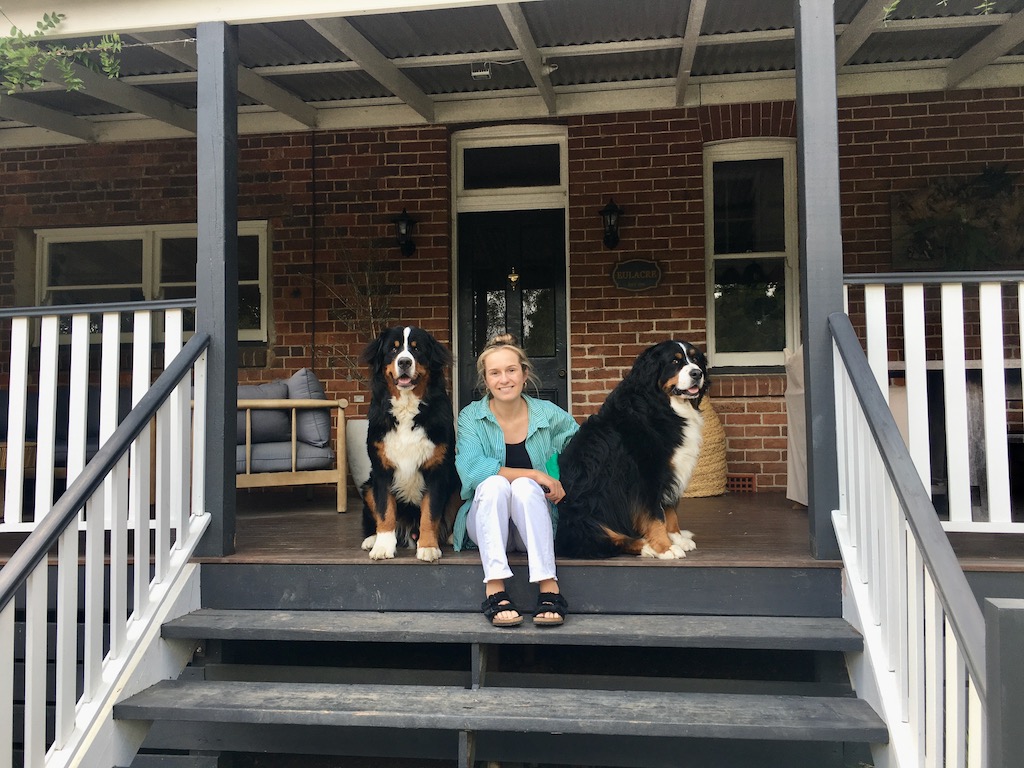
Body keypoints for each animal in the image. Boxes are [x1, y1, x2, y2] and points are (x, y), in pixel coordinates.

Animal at [358, 327, 458, 561]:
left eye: (416, 349)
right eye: (393, 349)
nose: (404, 362)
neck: (407, 408)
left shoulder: (436, 469)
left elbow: (430, 513)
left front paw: (428, 547)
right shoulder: (382, 470)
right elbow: (385, 511)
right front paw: (383, 547)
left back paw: (451, 536)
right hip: (367, 487)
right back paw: (371, 539)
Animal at [552, 342, 712, 561]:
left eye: (695, 359)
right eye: (674, 361)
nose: (697, 373)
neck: (661, 405)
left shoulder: (670, 472)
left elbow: (670, 511)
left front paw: (676, 537)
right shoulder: (648, 474)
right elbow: (655, 515)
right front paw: (665, 547)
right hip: (586, 514)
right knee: (607, 541)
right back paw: (647, 546)